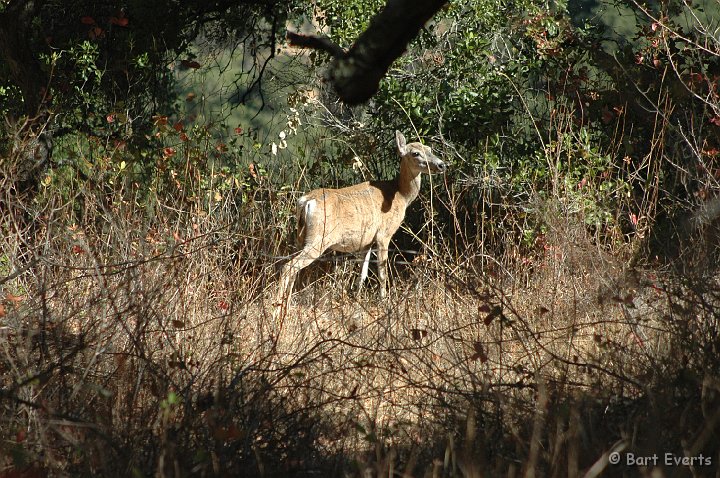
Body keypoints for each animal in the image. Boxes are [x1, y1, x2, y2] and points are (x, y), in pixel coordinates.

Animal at [278, 131, 448, 308]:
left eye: (429, 149)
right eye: (415, 153)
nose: (442, 165)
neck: (401, 194)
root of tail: (306, 202)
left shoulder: (366, 241)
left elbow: (363, 273)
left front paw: (356, 299)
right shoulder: (383, 234)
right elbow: (382, 272)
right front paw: (384, 301)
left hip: (300, 237)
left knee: (291, 266)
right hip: (319, 238)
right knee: (288, 267)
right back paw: (278, 307)